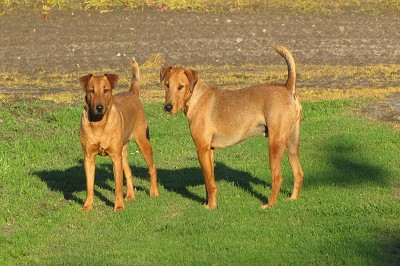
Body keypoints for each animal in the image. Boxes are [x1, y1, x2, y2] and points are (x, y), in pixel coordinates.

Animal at [79, 58, 159, 212]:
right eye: (91, 90)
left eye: (106, 90)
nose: (99, 107)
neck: (99, 124)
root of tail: (132, 93)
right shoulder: (89, 158)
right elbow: (89, 186)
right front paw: (87, 206)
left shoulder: (115, 157)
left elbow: (117, 186)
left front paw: (119, 206)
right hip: (123, 150)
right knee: (129, 171)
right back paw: (130, 196)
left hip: (143, 142)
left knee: (152, 167)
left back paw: (154, 192)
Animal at [159, 44, 304, 209]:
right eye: (166, 85)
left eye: (181, 87)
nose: (167, 107)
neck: (196, 98)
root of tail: (287, 87)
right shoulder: (209, 150)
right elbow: (209, 182)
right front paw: (208, 203)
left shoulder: (202, 149)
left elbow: (209, 183)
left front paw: (211, 207)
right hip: (291, 143)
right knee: (298, 173)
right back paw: (293, 199)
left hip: (275, 144)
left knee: (277, 177)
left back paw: (269, 205)